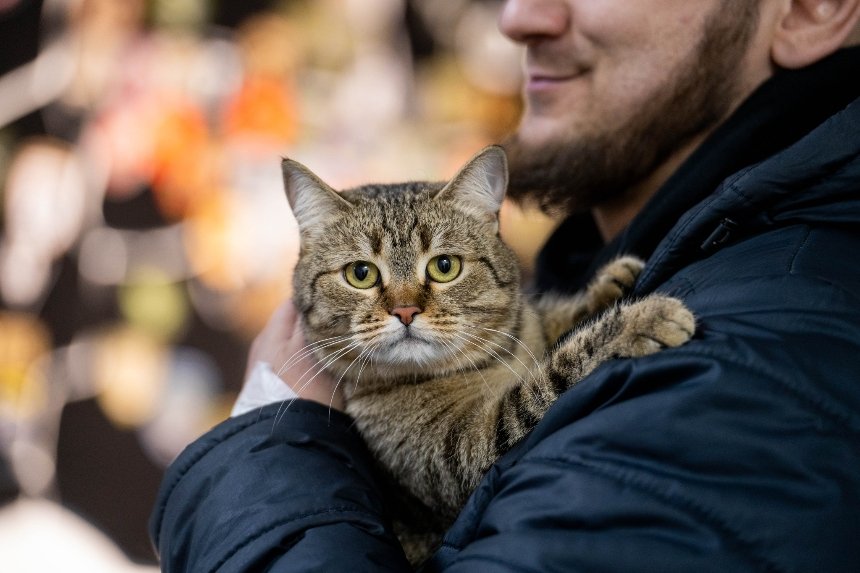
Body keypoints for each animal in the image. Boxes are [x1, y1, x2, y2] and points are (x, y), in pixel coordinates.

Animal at [278, 144, 696, 564]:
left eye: (444, 266)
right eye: (360, 274)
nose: (405, 311)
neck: (489, 363)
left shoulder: (524, 331)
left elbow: (548, 325)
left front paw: (610, 284)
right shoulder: (462, 454)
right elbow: (549, 378)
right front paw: (637, 320)